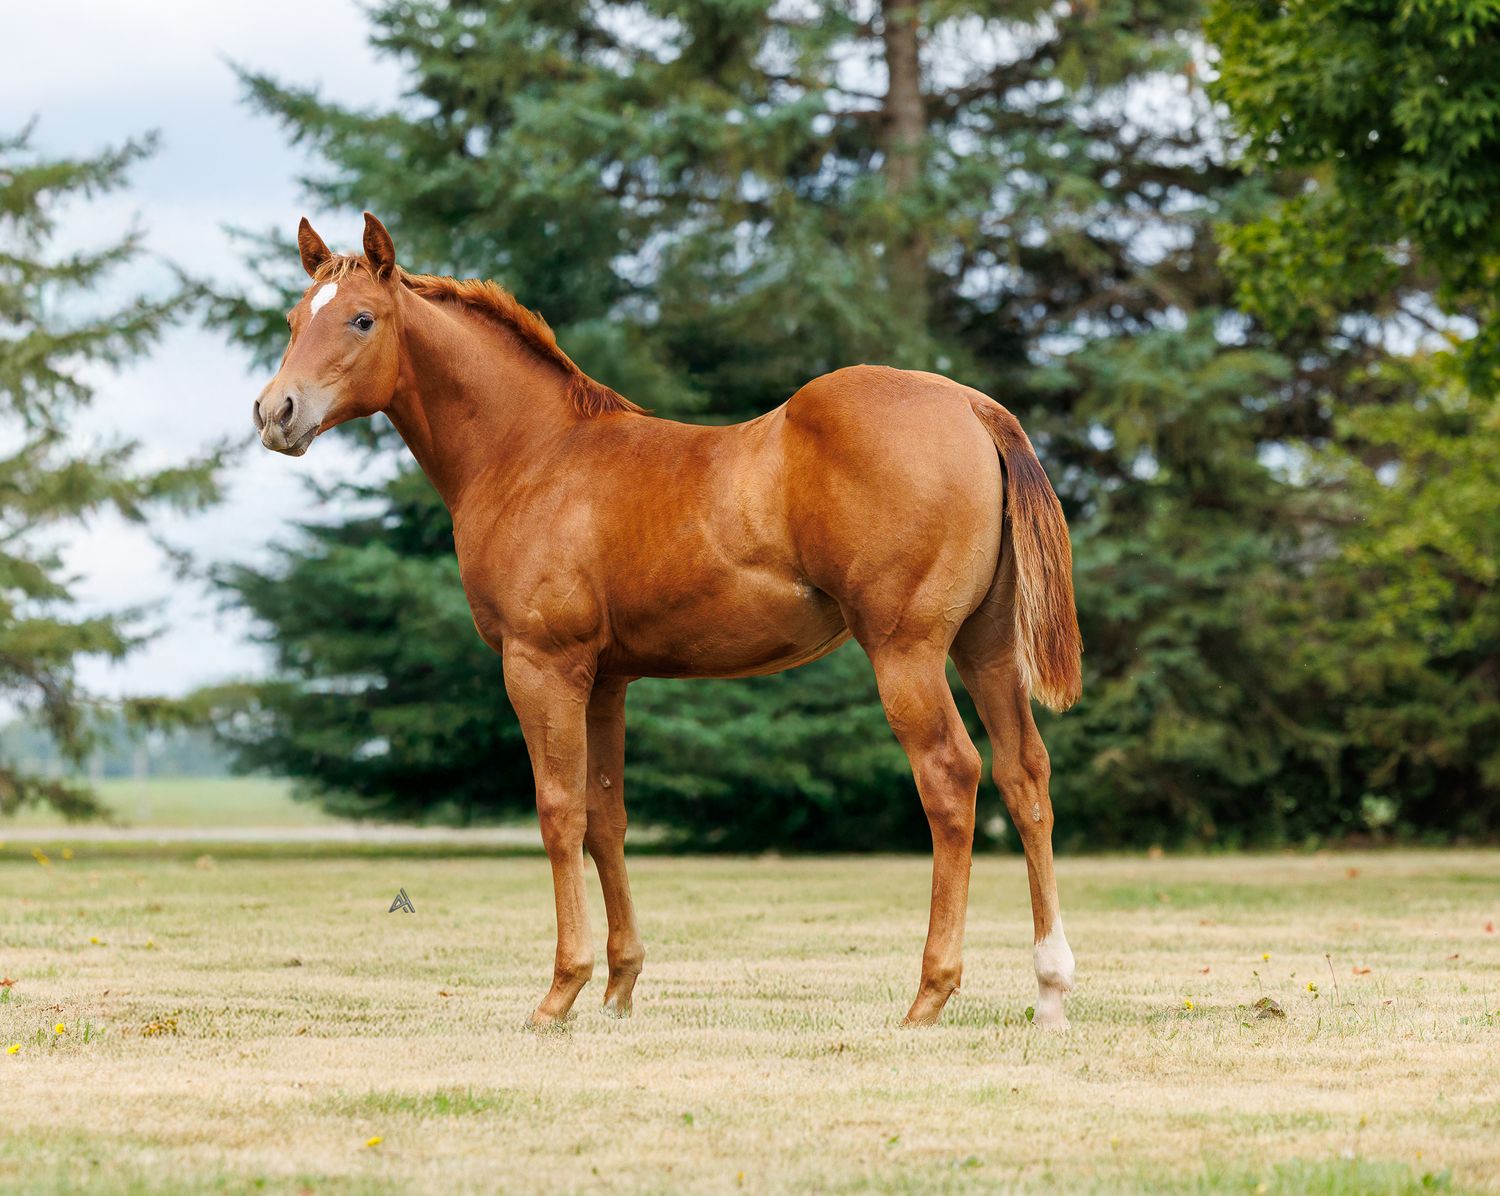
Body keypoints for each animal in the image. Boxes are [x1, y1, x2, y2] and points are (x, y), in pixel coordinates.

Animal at [255, 213, 1083, 1030]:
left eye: (362, 319)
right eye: (295, 320)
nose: (275, 413)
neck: (533, 455)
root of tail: (973, 406)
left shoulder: (541, 665)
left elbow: (558, 812)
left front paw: (561, 991)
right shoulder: (606, 679)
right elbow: (606, 815)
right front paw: (620, 986)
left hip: (906, 651)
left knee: (951, 776)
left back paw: (930, 993)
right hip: (985, 650)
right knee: (1024, 774)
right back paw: (1050, 987)